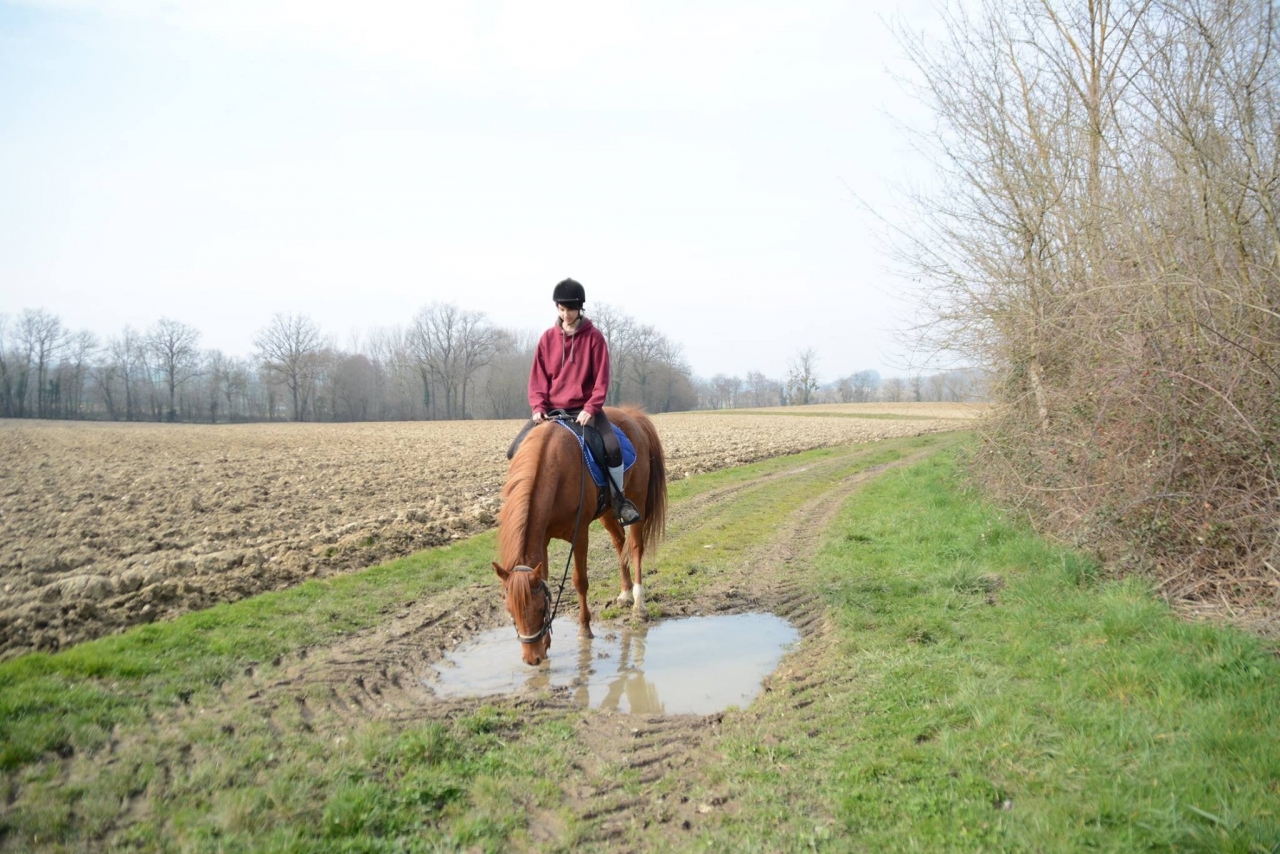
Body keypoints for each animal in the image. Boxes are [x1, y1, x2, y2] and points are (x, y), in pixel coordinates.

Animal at [491, 405, 668, 666]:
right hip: (608, 512)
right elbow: (545, 579)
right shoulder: (543, 538)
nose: (532, 659)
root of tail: (632, 415)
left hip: (638, 503)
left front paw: (585, 629)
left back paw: (638, 604)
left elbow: (580, 581)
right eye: (510, 611)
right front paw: (547, 642)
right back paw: (625, 594)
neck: (554, 466)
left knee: (635, 547)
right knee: (619, 542)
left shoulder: (580, 533)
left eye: (539, 610)